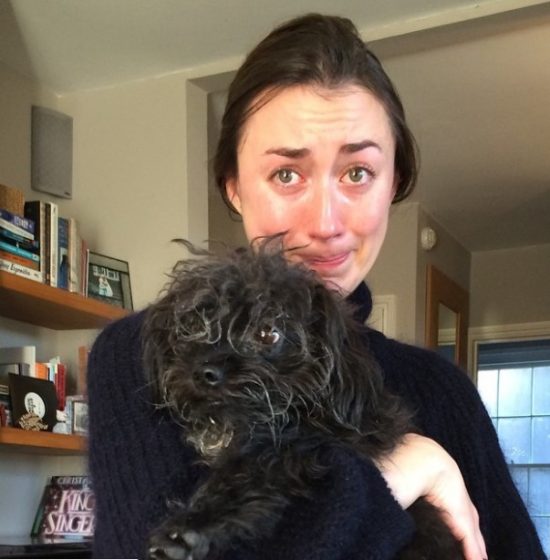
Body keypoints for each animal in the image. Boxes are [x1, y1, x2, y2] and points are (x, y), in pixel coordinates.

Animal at [143, 241, 466, 560]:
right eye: (192, 323)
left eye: (268, 333)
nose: (205, 371)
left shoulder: (314, 443)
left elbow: (258, 465)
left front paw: (192, 527)